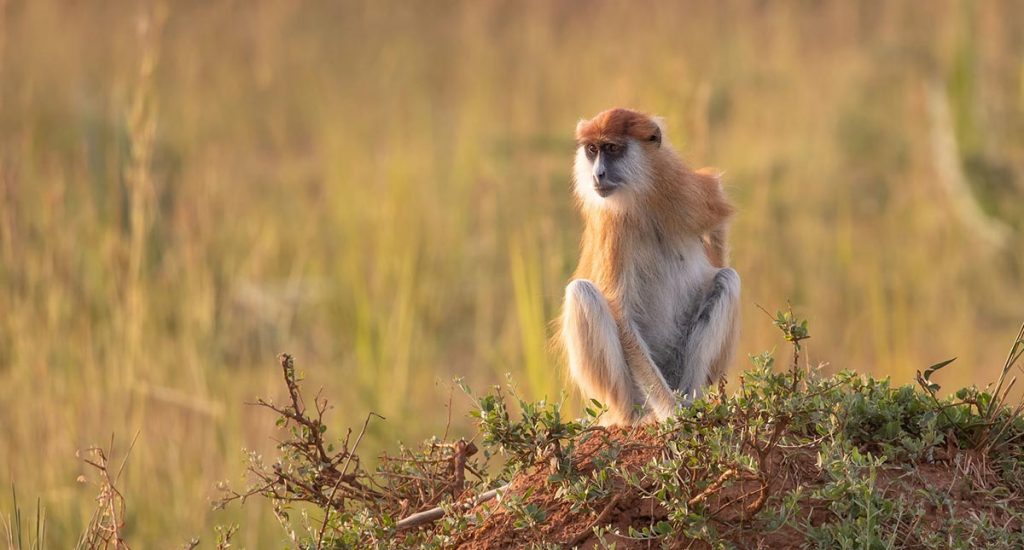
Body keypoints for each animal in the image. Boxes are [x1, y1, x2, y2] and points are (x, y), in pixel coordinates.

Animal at [561, 108, 745, 424]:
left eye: (612, 148)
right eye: (592, 149)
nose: (598, 174)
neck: (641, 197)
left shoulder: (681, 188)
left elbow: (716, 215)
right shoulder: (611, 223)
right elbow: (620, 314)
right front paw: (671, 413)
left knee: (727, 279)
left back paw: (691, 399)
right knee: (581, 293)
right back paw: (636, 417)